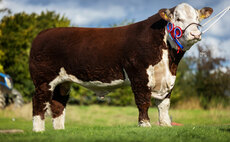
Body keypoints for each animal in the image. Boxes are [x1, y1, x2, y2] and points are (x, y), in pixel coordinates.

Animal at [29, 3, 213, 132]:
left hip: (63, 83)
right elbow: (143, 100)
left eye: (198, 18)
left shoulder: (168, 78)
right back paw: (38, 130)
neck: (168, 61)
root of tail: (42, 34)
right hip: (43, 80)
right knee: (39, 101)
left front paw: (166, 125)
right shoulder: (139, 74)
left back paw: (59, 130)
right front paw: (145, 124)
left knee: (58, 104)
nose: (195, 34)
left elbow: (164, 104)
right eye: (178, 19)